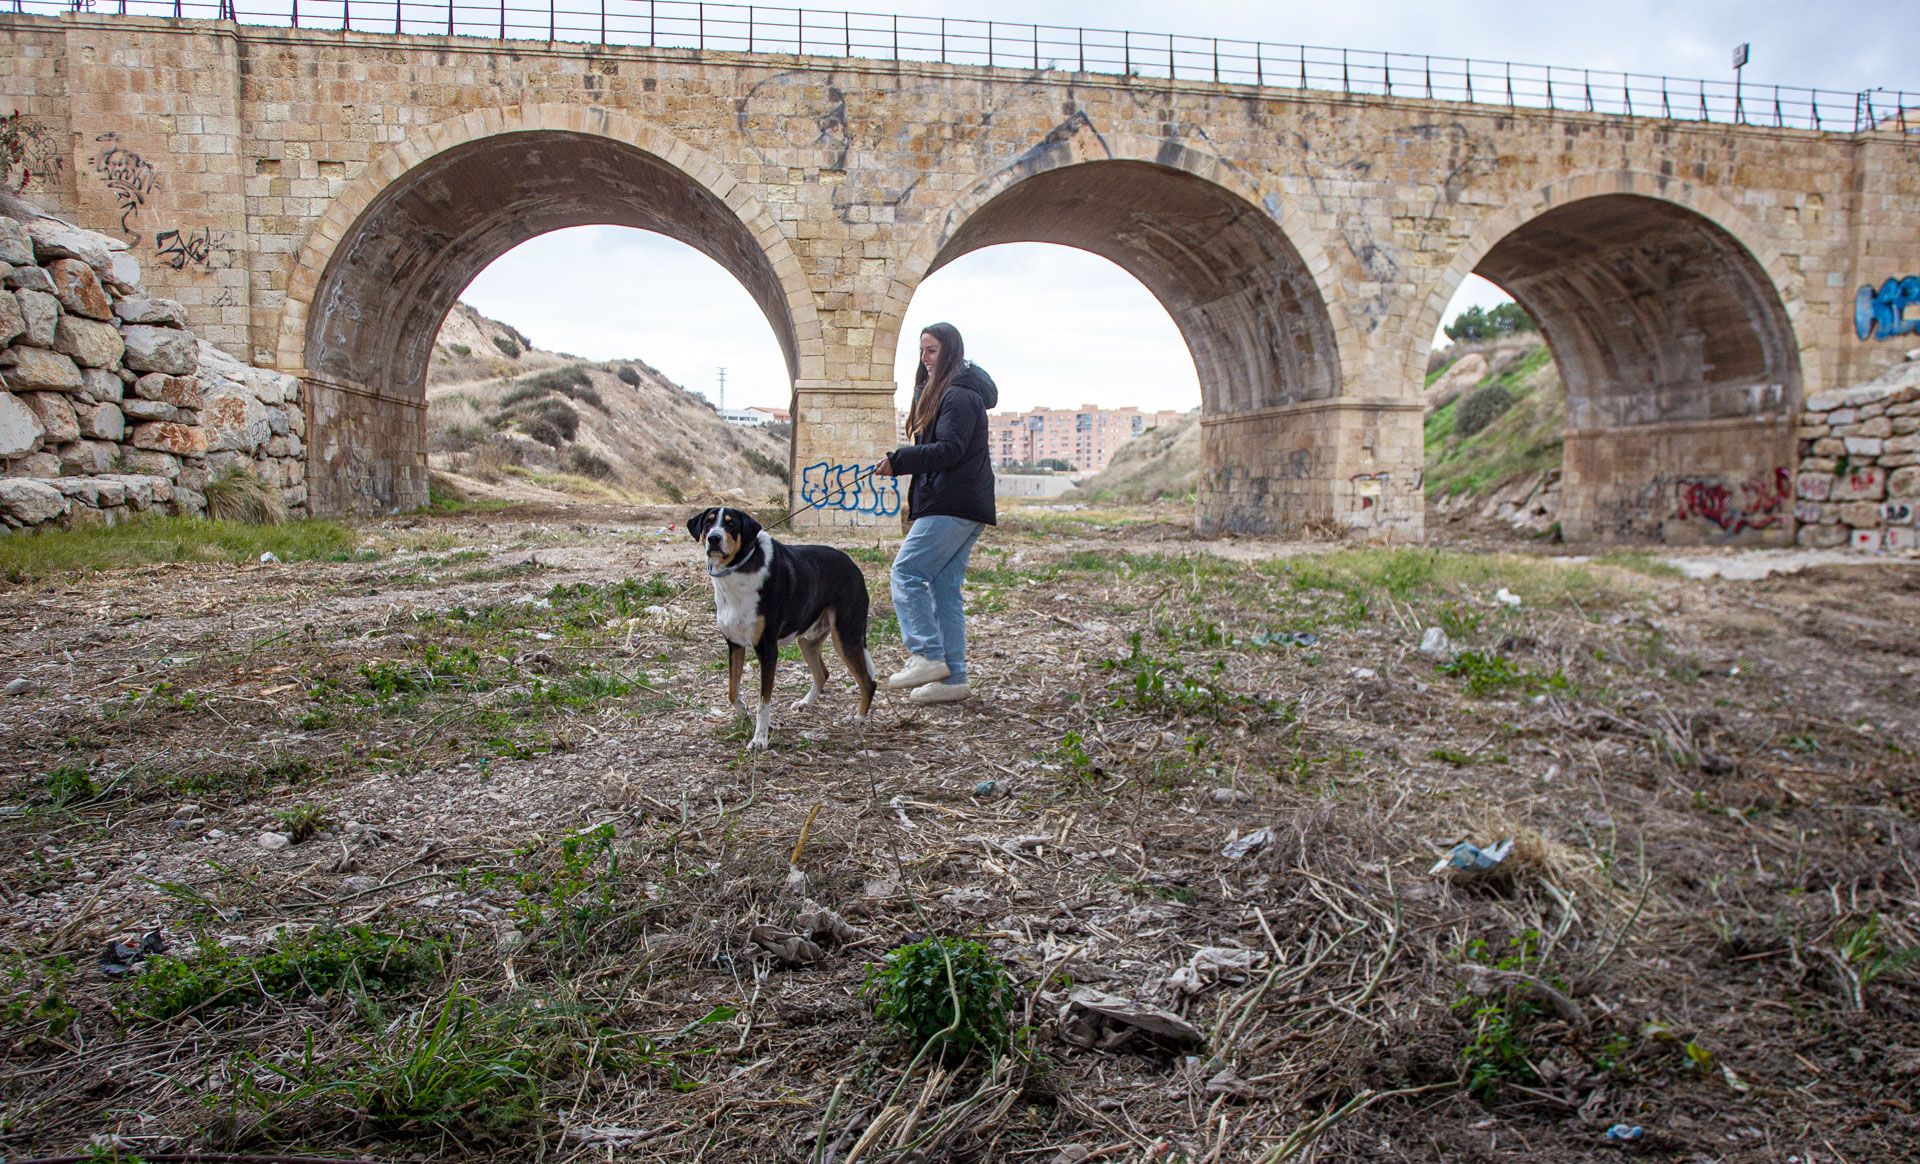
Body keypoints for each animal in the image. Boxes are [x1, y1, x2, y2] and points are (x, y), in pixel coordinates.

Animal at [683, 514, 879, 756]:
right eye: (709, 522)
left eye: (731, 523)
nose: (714, 539)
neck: (739, 570)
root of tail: (854, 566)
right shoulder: (735, 644)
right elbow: (732, 692)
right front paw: (744, 713)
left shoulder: (767, 650)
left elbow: (764, 702)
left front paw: (760, 739)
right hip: (808, 640)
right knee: (823, 674)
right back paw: (805, 703)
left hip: (846, 637)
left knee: (868, 683)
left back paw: (858, 719)